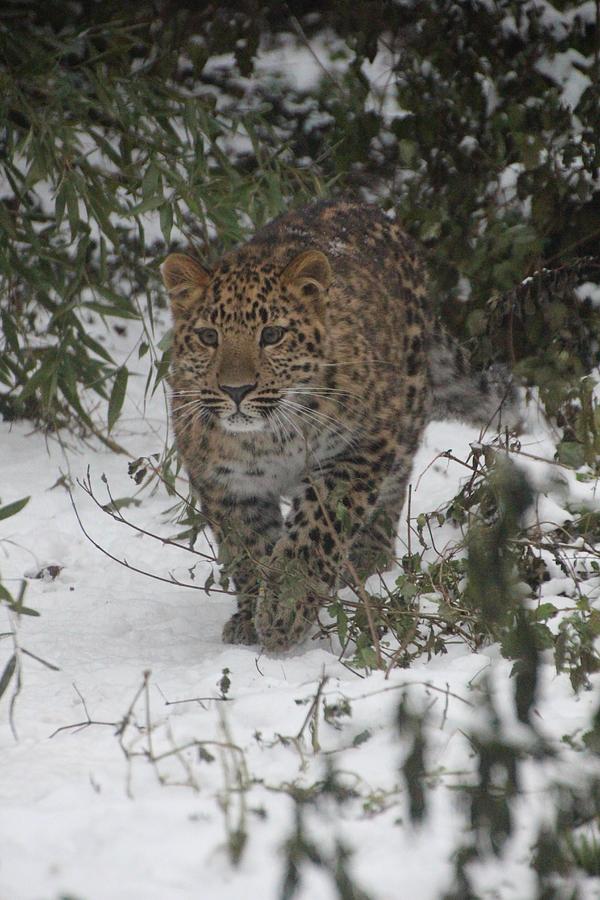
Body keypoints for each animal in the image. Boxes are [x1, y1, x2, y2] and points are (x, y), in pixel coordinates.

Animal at [161, 199, 516, 648]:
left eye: (271, 335)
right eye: (209, 337)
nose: (236, 390)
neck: (268, 436)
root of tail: (366, 209)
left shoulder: (357, 451)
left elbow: (314, 532)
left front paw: (285, 609)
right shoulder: (227, 483)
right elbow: (247, 549)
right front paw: (252, 615)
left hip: (404, 409)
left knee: (394, 486)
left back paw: (367, 557)